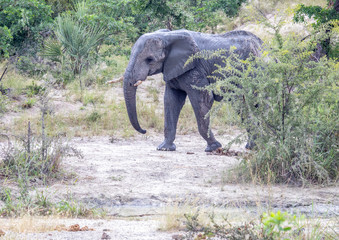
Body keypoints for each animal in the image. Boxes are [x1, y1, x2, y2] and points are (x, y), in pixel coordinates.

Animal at [123, 29, 264, 151]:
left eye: (149, 59)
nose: (144, 131)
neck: (168, 36)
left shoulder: (195, 69)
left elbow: (203, 100)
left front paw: (214, 147)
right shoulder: (174, 69)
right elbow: (171, 101)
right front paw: (164, 148)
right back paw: (254, 146)